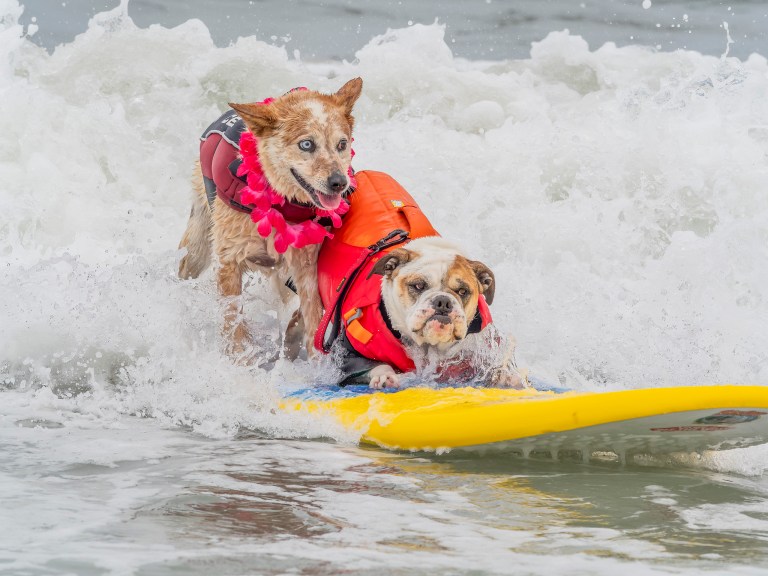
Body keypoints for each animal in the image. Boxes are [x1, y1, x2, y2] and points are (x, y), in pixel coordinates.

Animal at [177, 79, 364, 362]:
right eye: (306, 144)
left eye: (342, 144)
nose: (340, 182)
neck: (282, 203)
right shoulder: (229, 261)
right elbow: (233, 320)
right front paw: (240, 359)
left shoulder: (307, 266)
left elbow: (312, 319)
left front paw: (316, 365)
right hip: (199, 244)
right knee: (187, 263)